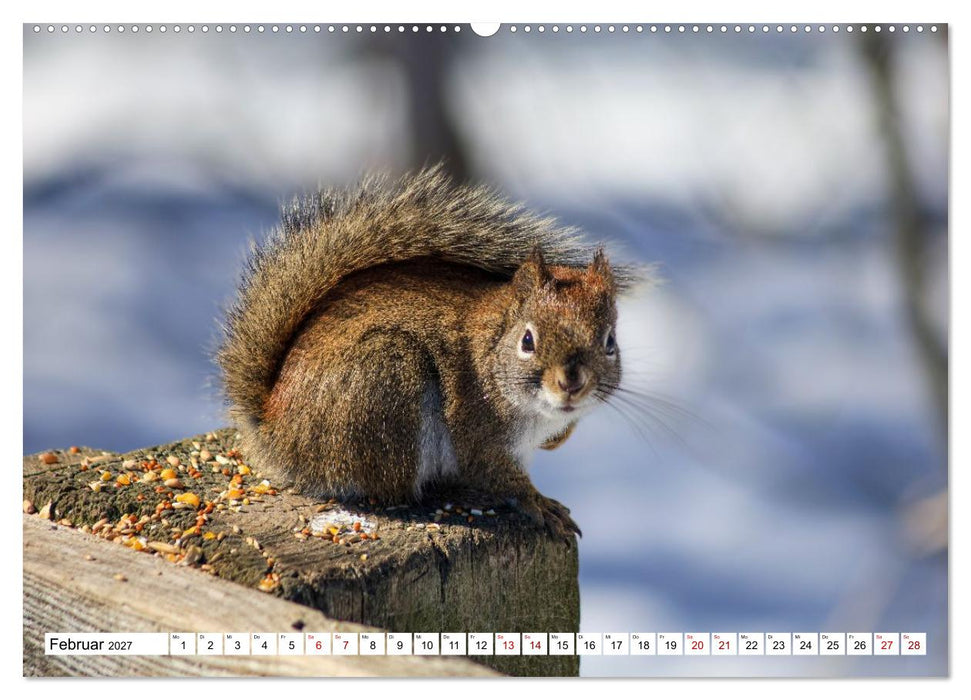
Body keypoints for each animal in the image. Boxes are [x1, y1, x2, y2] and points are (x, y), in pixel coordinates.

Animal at [217, 166, 637, 540]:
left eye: (610, 343)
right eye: (527, 341)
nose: (571, 384)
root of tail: (275, 429)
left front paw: (559, 439)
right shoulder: (475, 425)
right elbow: (496, 473)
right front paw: (538, 503)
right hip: (385, 385)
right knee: (390, 488)